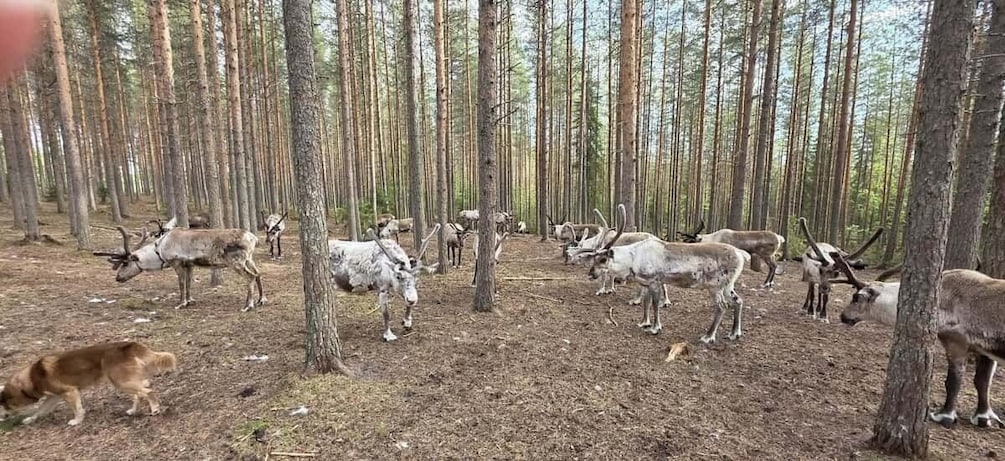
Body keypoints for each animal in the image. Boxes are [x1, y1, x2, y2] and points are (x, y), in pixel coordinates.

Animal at [93, 219, 265, 312]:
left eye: (125, 263)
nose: (117, 278)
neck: (159, 249)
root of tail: (253, 238)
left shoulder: (176, 263)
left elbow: (181, 284)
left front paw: (181, 303)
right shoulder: (190, 265)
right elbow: (189, 284)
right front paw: (189, 301)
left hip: (236, 261)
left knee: (250, 276)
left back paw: (248, 305)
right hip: (249, 259)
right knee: (258, 273)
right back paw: (261, 300)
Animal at [822, 251, 1004, 428]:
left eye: (855, 297)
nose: (843, 316)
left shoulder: (956, 342)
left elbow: (954, 381)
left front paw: (944, 416)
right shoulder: (984, 349)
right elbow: (982, 381)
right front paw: (984, 417)